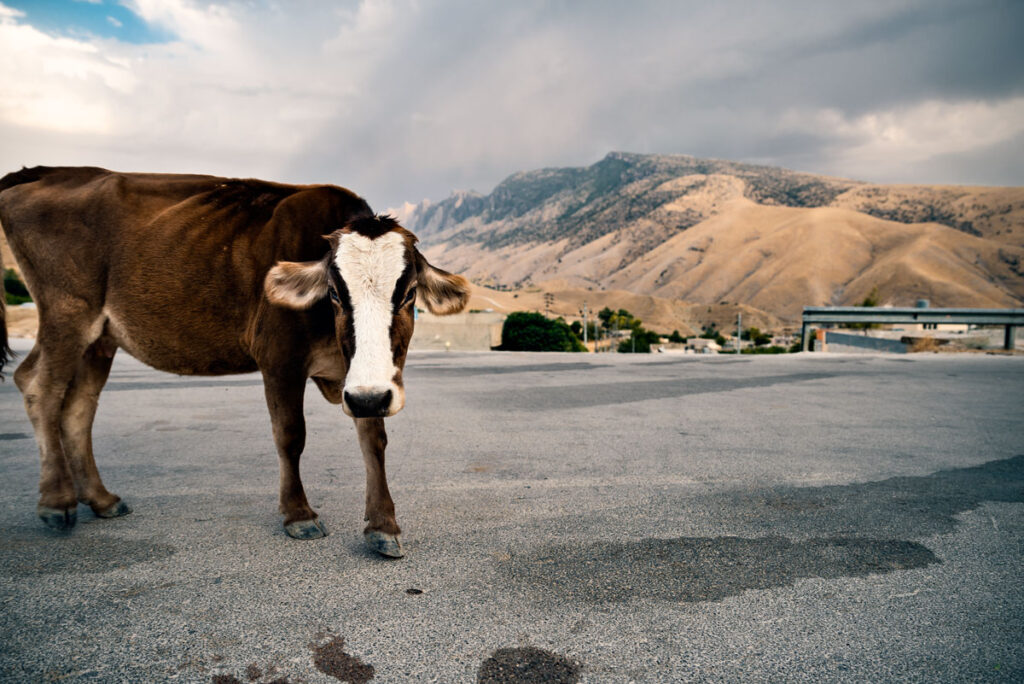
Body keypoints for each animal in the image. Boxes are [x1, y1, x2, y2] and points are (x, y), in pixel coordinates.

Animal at [0, 165, 468, 557]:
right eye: (335, 293)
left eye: (408, 294)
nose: (368, 397)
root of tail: (47, 171)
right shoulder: (279, 358)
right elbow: (290, 436)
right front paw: (298, 514)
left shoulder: (364, 381)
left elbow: (374, 440)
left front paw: (383, 524)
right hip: (67, 312)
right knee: (39, 386)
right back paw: (57, 502)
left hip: (100, 338)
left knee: (78, 407)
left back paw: (100, 499)